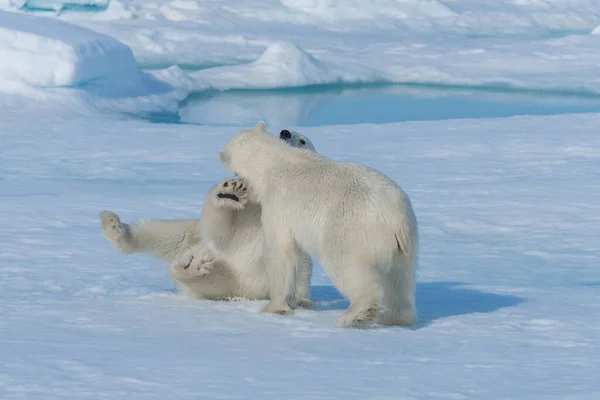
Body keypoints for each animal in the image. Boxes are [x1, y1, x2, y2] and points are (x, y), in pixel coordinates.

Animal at [101, 127, 318, 306]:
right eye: (274, 134)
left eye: (303, 141)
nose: (285, 133)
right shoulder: (246, 213)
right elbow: (220, 231)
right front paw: (229, 192)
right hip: (197, 239)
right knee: (169, 235)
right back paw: (113, 226)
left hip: (229, 279)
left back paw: (190, 267)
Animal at [218, 122, 420, 328]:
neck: (271, 164)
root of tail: (396, 217)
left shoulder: (279, 205)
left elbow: (281, 252)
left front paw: (273, 307)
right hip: (406, 244)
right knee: (400, 279)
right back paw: (395, 319)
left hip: (350, 229)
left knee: (347, 266)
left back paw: (353, 315)